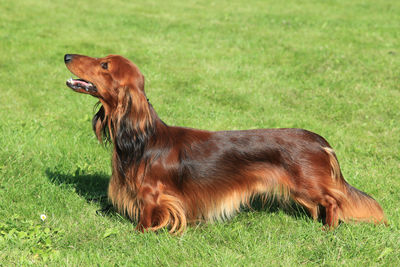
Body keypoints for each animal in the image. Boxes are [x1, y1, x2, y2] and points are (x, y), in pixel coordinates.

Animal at [64, 54, 386, 234]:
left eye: (104, 64)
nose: (67, 55)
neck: (143, 138)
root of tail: (319, 141)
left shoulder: (152, 193)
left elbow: (147, 215)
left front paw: (139, 233)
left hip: (308, 184)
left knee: (334, 201)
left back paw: (329, 230)